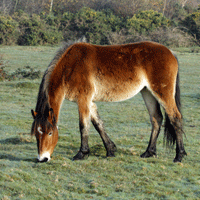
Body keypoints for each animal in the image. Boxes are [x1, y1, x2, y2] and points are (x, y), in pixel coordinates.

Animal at [30, 40, 187, 162]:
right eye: (36, 134)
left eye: (50, 133)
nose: (42, 158)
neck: (71, 66)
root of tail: (170, 52)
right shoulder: (90, 102)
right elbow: (98, 124)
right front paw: (110, 150)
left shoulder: (83, 100)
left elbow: (83, 126)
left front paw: (82, 153)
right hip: (147, 92)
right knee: (156, 119)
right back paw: (149, 152)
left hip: (163, 93)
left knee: (175, 117)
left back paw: (179, 156)